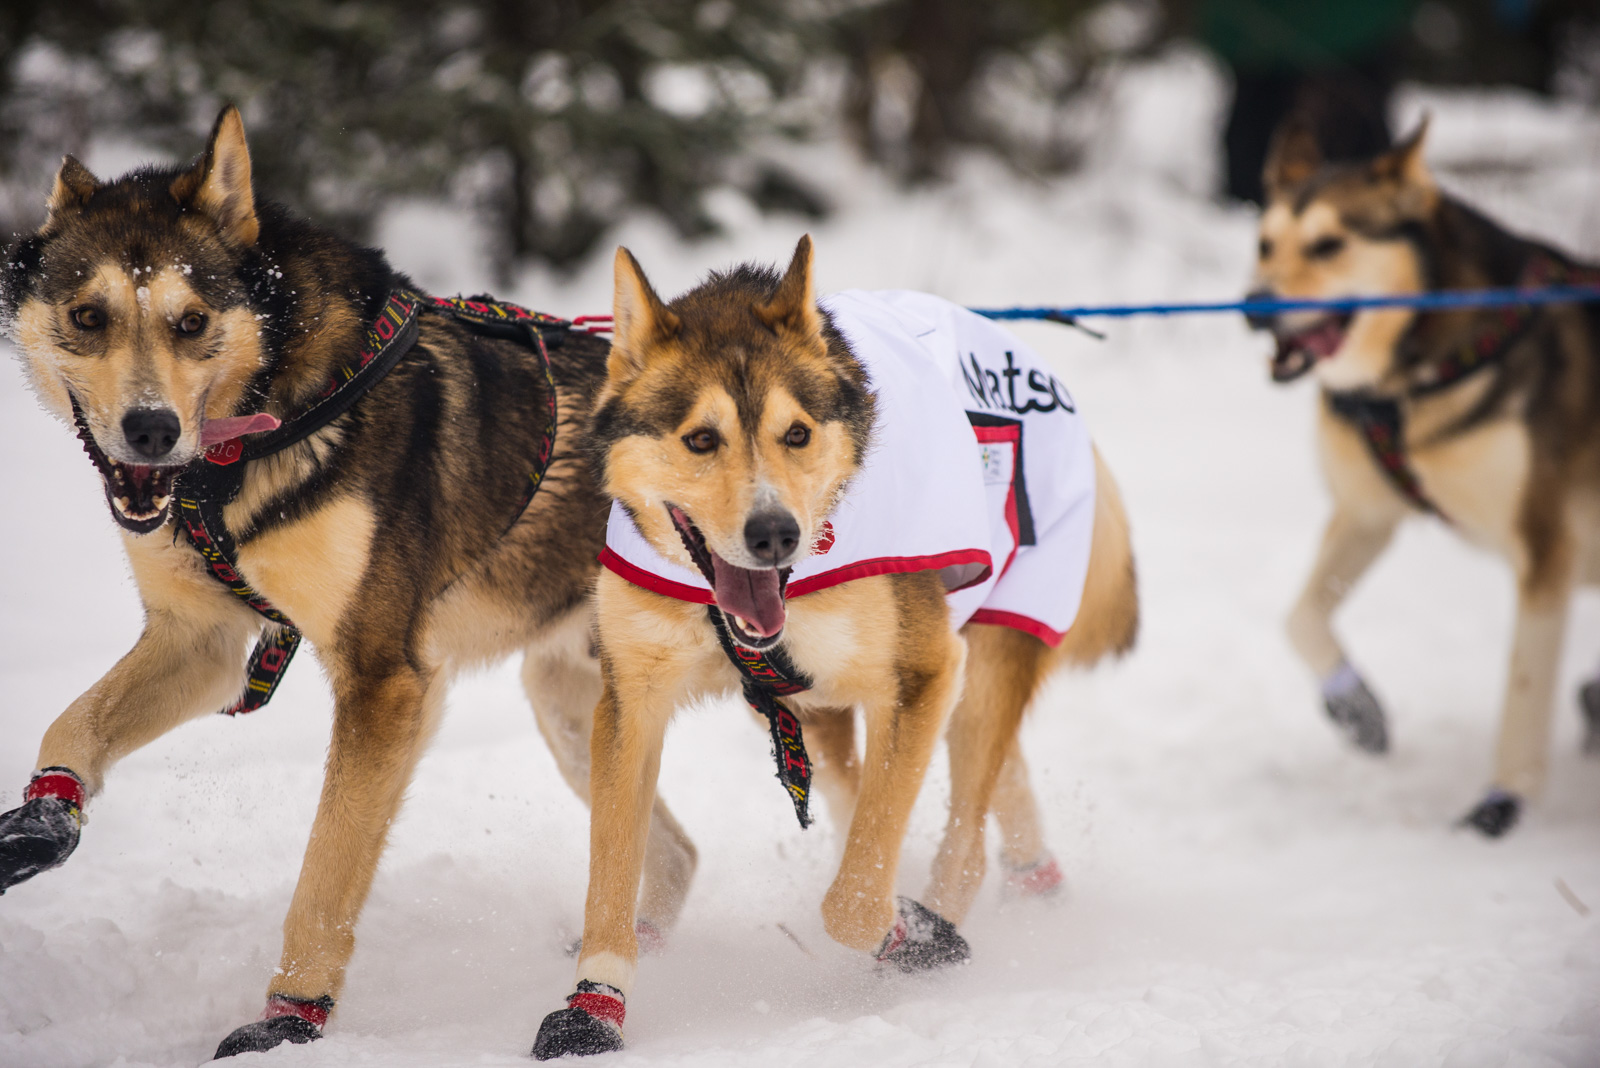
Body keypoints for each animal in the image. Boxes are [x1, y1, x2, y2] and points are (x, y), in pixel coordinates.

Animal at [0, 103, 700, 1055]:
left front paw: (287, 1020)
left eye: (190, 321)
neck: (264, 426)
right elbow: (70, 726)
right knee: (673, 855)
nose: (149, 430)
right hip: (581, 710)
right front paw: (40, 825)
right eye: (87, 314)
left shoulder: (383, 681)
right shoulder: (200, 642)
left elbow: (325, 877)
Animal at [537, 235, 1139, 1061]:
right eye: (701, 439)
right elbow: (612, 873)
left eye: (797, 433)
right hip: (816, 708)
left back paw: (944, 913)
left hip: (981, 659)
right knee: (913, 793)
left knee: (962, 834)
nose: (775, 534)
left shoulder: (923, 674)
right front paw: (595, 1005)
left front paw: (906, 931)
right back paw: (1028, 877)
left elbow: (853, 899)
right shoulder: (632, 702)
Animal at [1248, 116, 1600, 831]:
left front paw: (1501, 806)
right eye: (1265, 244)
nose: (1253, 305)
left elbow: (1523, 688)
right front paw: (1354, 706)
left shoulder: (1547, 549)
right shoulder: (1368, 512)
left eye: (1329, 244)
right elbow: (1300, 616)